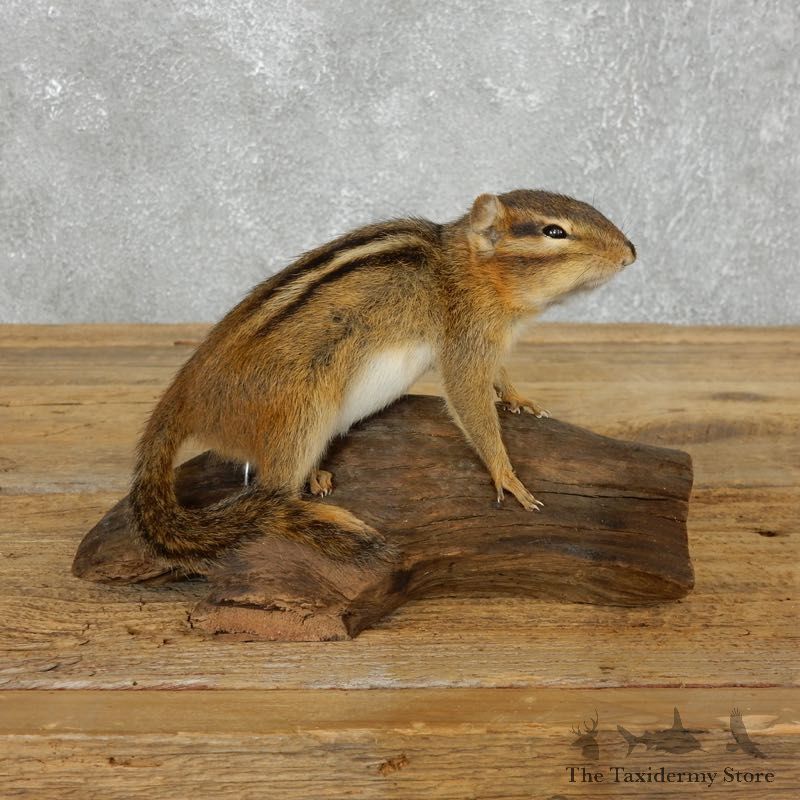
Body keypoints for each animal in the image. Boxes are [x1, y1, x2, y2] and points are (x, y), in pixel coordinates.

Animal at [130, 189, 635, 569]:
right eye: (554, 231)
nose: (631, 253)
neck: (463, 266)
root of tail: (182, 398)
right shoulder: (466, 344)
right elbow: (470, 402)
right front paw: (507, 475)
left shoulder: (488, 343)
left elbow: (500, 374)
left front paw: (519, 399)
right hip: (302, 412)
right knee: (274, 492)